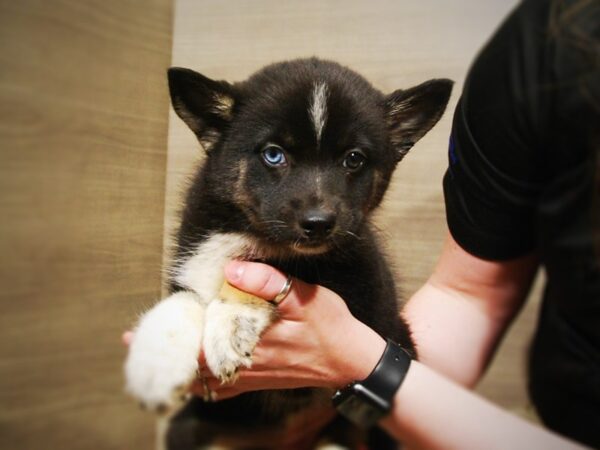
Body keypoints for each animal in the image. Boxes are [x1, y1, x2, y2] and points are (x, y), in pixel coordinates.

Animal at [124, 58, 450, 448]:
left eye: (353, 159)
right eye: (273, 154)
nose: (319, 224)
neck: (246, 227)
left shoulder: (360, 286)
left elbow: (267, 262)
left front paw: (230, 323)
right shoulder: (192, 258)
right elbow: (182, 299)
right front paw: (155, 362)